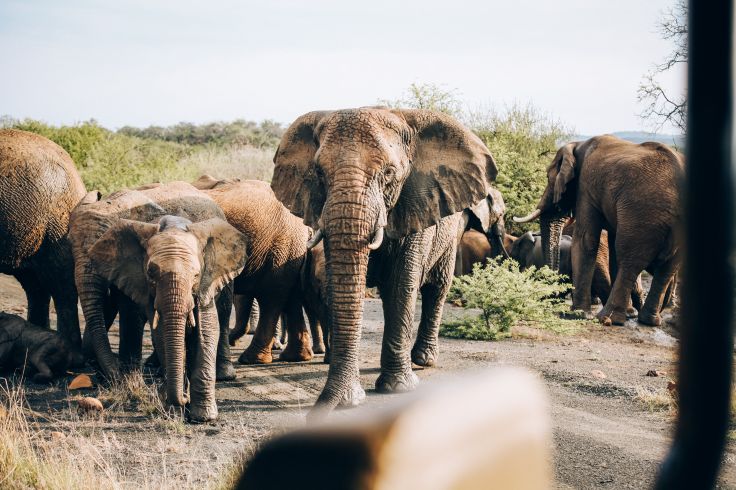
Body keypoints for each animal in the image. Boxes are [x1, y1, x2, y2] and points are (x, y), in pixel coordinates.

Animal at [69, 182, 247, 424]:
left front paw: (202, 416)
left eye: (196, 275)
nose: (114, 378)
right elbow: (140, 319)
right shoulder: (130, 269)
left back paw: (222, 375)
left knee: (224, 309)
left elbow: (207, 329)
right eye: (68, 244)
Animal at [272, 108, 500, 418]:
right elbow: (339, 286)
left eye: (389, 173)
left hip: (451, 231)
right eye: (318, 173)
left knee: (436, 287)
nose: (311, 417)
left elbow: (401, 285)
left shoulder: (416, 202)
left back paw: (423, 361)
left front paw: (398, 388)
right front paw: (349, 399)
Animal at [512, 135, 684, 326]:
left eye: (548, 177)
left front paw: (577, 315)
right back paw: (647, 320)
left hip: (642, 213)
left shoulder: (586, 185)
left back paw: (608, 318)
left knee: (630, 260)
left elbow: (585, 239)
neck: (577, 145)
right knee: (666, 267)